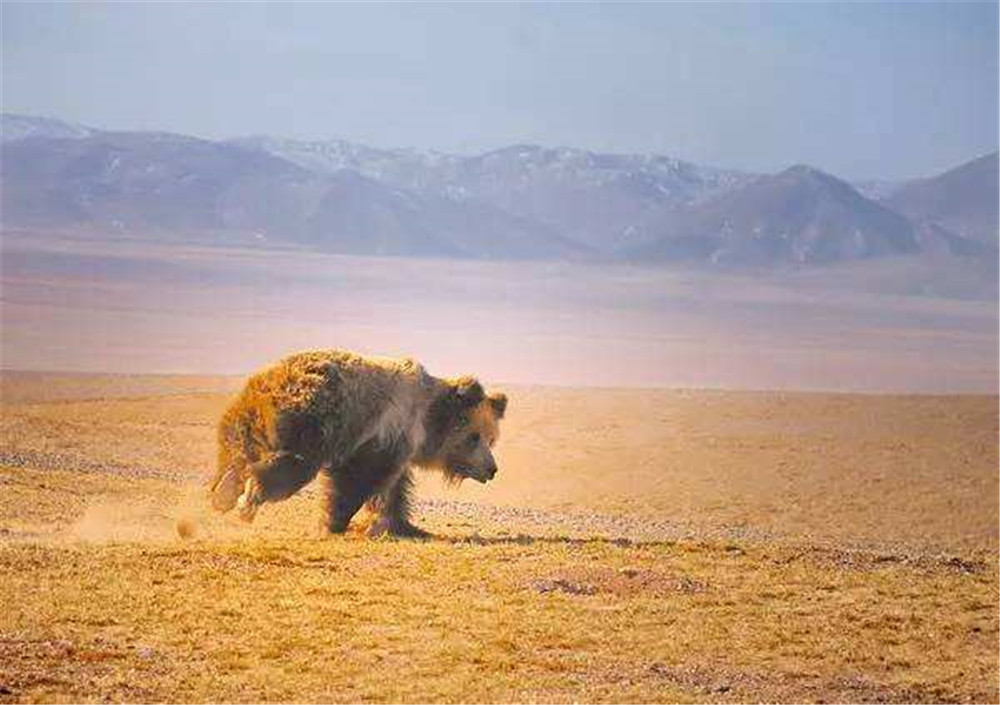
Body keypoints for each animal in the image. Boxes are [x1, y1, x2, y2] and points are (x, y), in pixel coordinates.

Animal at [209, 350, 508, 536]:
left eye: (492, 439)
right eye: (475, 437)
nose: (492, 469)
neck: (426, 418)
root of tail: (263, 391)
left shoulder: (398, 446)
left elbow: (394, 488)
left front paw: (399, 525)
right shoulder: (380, 432)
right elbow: (358, 478)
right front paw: (332, 521)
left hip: (240, 423)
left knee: (234, 458)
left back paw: (222, 493)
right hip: (308, 425)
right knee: (289, 468)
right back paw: (247, 499)